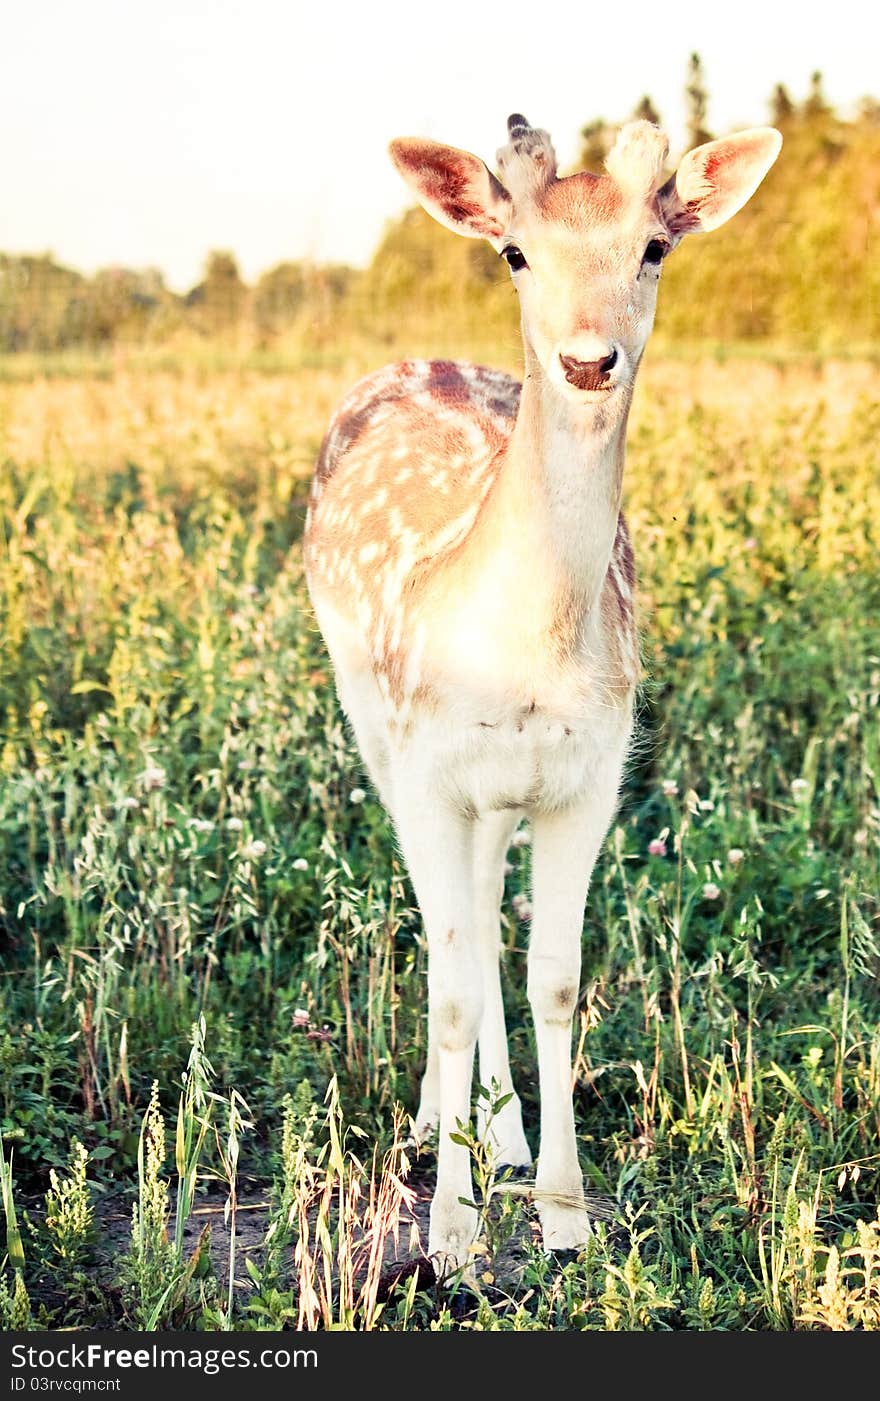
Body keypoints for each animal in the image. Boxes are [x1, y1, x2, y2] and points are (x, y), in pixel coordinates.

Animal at [305, 112, 779, 1272]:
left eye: (654, 246)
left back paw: (504, 1129)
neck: (528, 651)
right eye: (515, 251)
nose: (586, 357)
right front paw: (450, 1232)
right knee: (448, 928)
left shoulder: (589, 775)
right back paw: (440, 1124)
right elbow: (451, 984)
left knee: (480, 913)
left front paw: (563, 1215)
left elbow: (555, 978)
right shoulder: (430, 766)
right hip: (373, 723)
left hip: (496, 793)